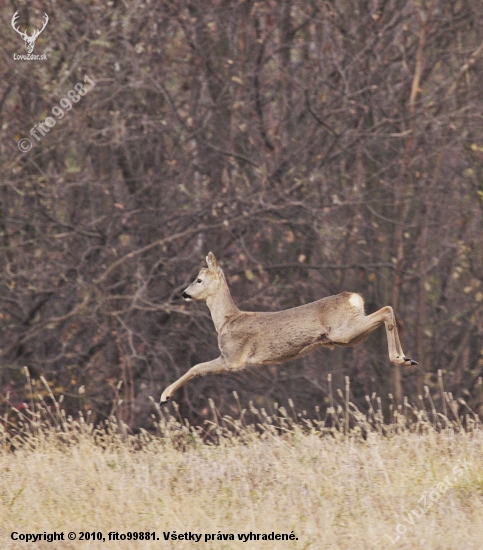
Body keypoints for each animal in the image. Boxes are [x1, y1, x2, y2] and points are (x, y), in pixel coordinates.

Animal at [161, 254, 418, 406]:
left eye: (199, 279)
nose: (184, 293)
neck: (227, 320)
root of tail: (354, 297)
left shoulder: (233, 357)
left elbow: (196, 367)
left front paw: (165, 396)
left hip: (343, 330)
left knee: (386, 309)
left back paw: (400, 358)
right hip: (347, 336)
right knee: (386, 311)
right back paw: (407, 359)